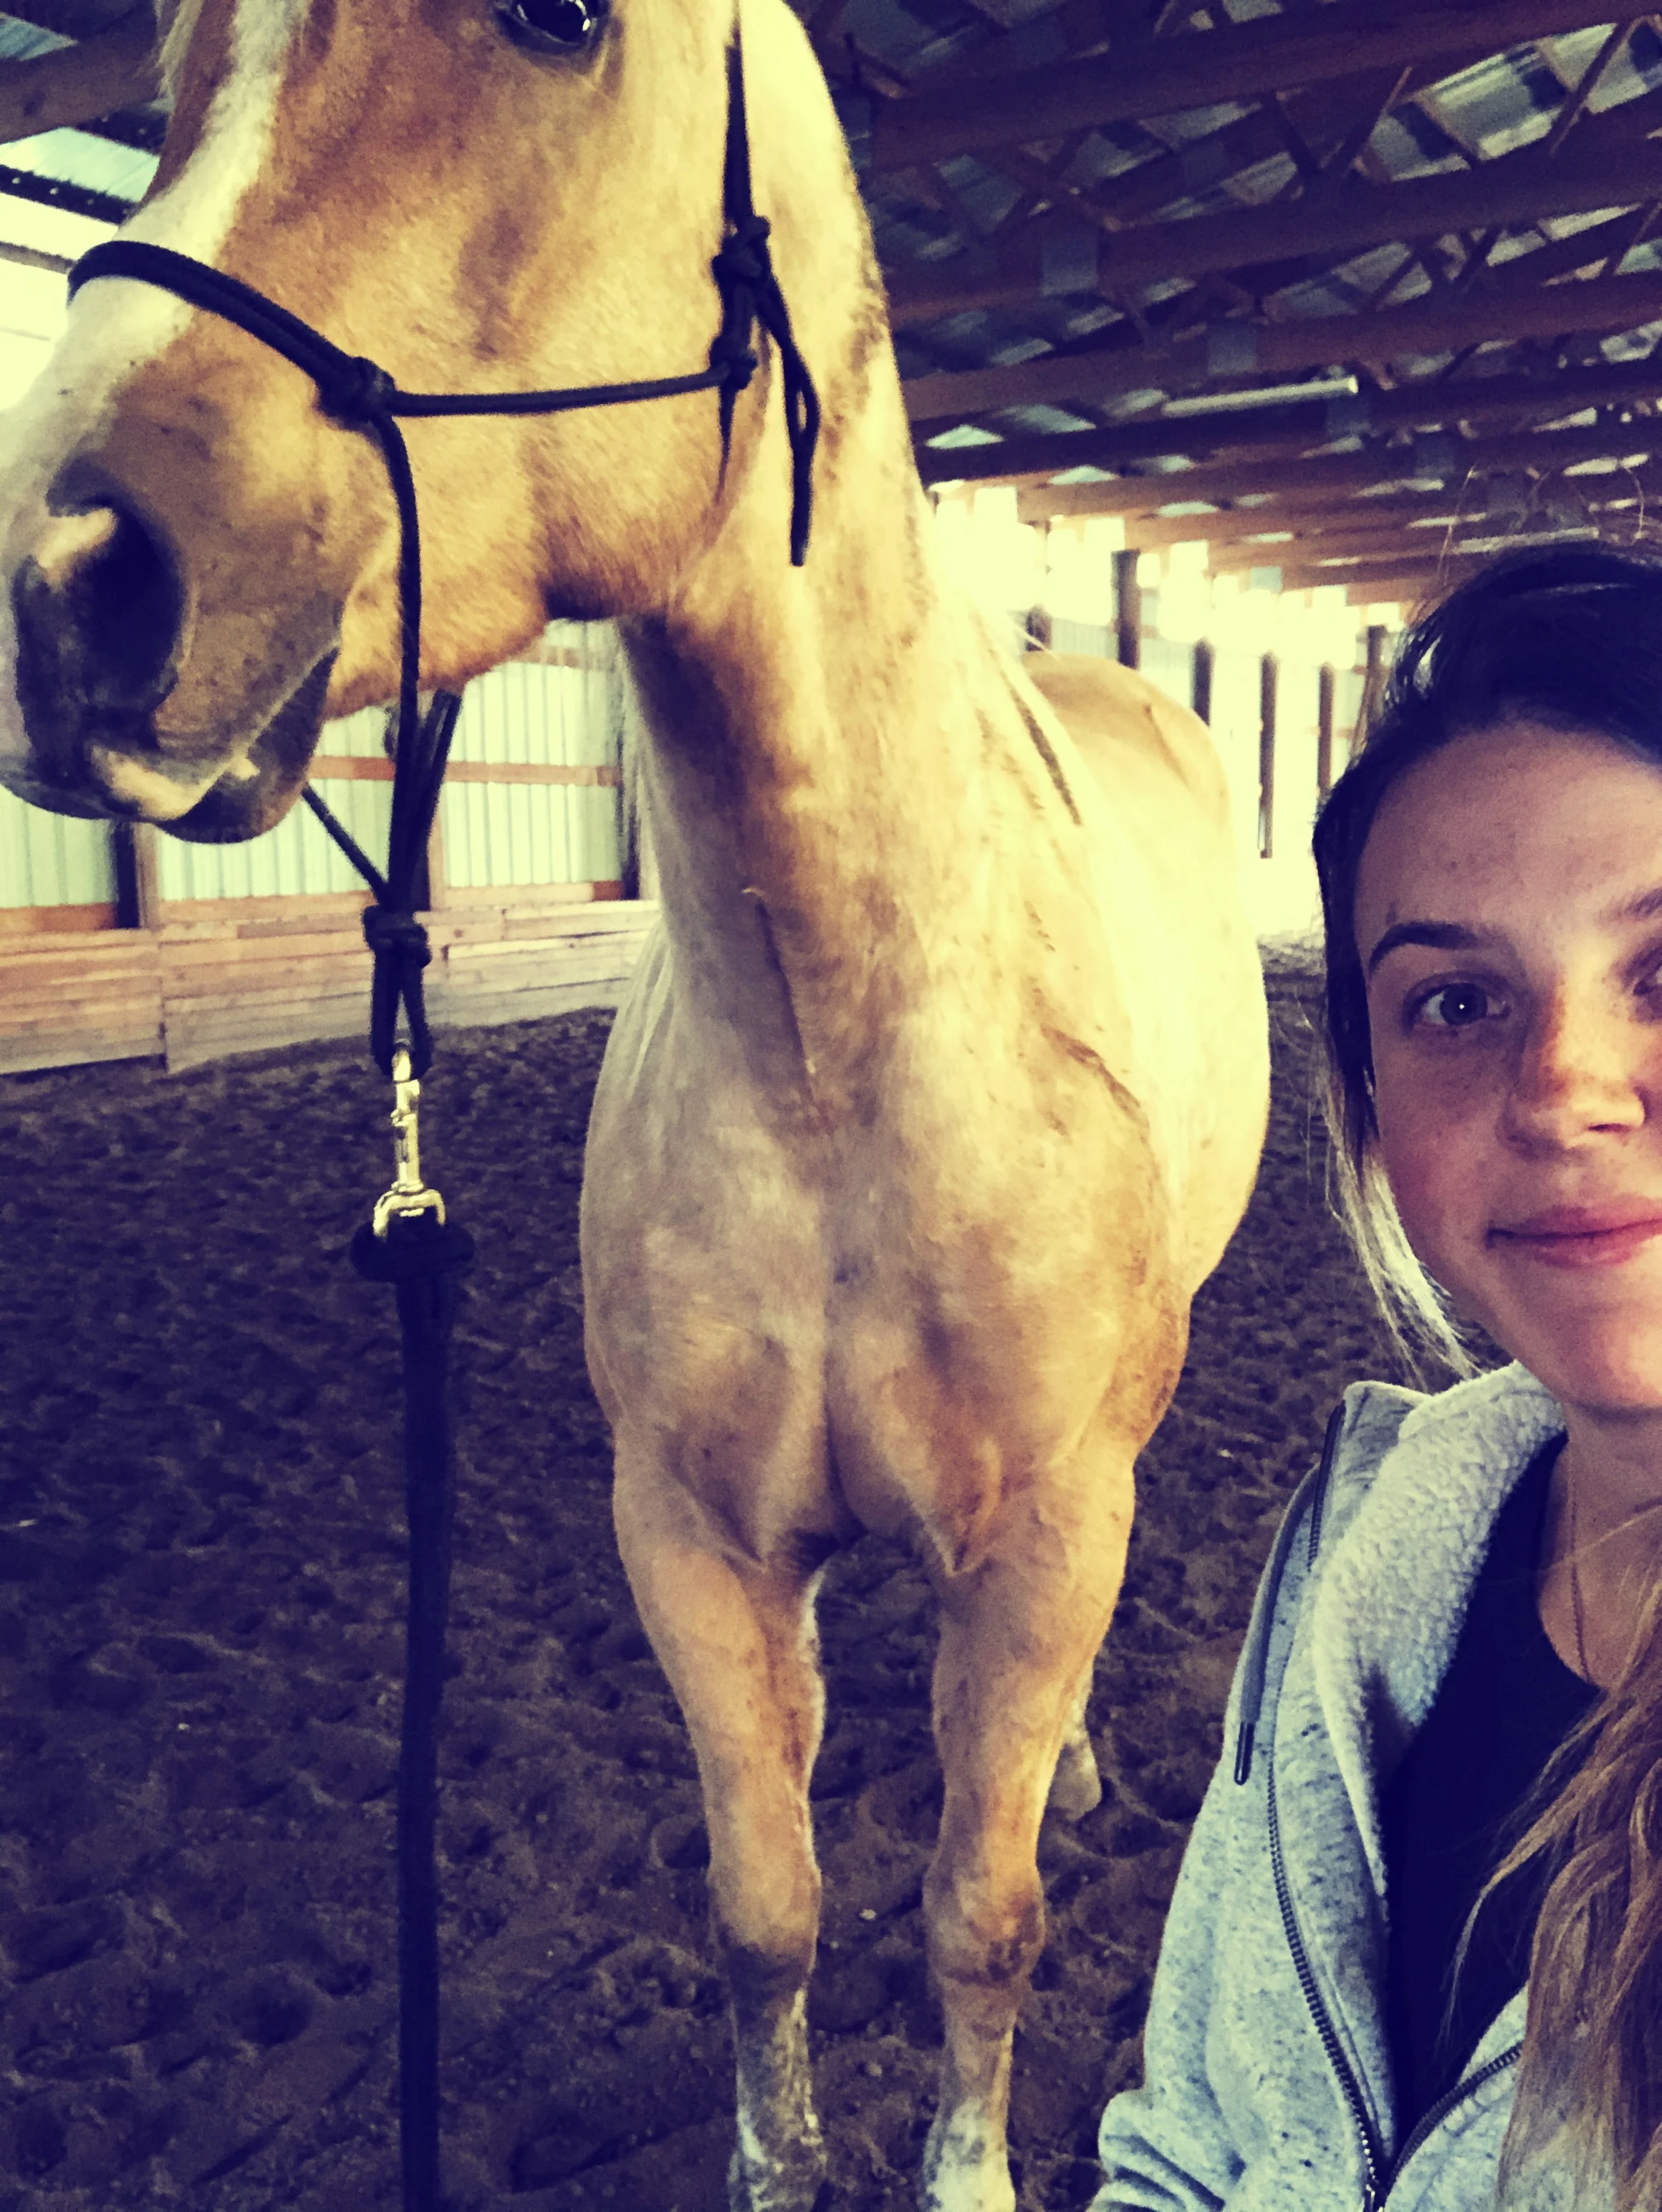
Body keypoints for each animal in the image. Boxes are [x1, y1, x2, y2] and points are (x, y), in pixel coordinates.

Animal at [0, 3, 1269, 2205]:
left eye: (558, 22)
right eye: (175, 71)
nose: (70, 578)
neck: (844, 1047)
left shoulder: (1042, 1535)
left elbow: (981, 1916)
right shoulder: (690, 1539)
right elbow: (766, 1906)